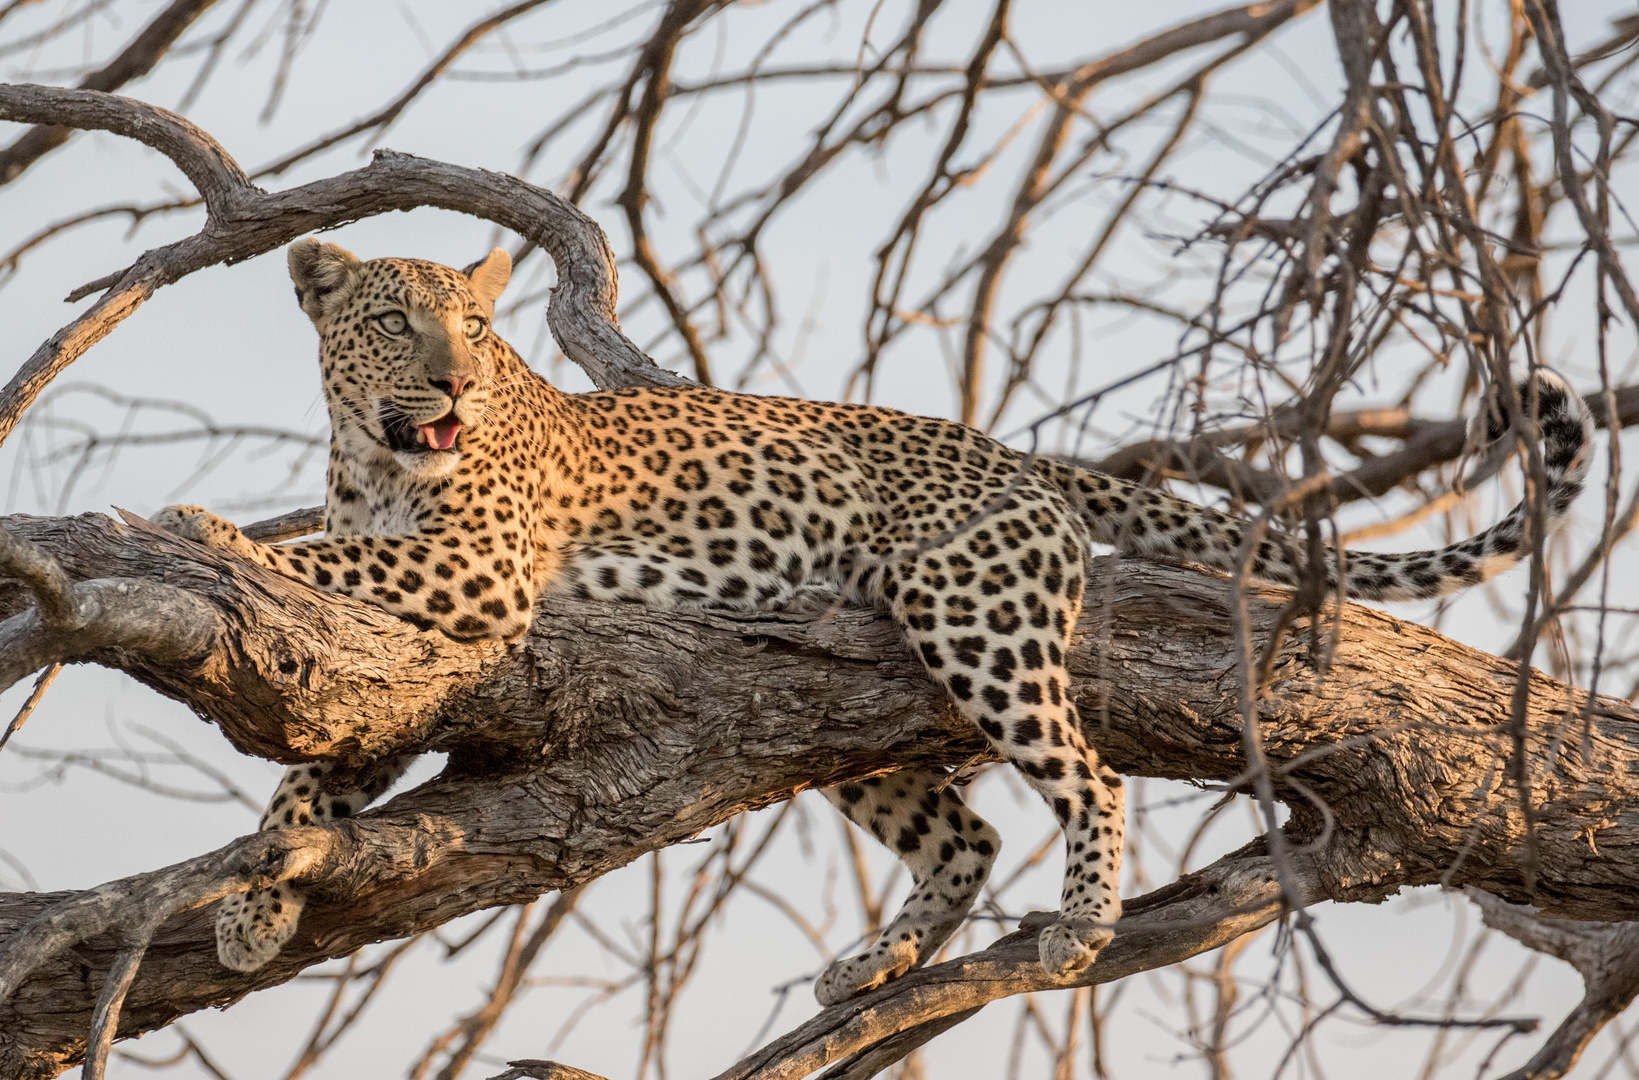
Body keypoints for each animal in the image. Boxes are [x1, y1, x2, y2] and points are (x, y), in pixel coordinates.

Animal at [154, 240, 1586, 1002]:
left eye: (473, 321)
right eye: (394, 321)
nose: (450, 379)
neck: (375, 455)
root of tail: (1009, 449)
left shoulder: (478, 571)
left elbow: (333, 560)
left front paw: (205, 529)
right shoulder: (391, 666)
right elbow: (309, 774)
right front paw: (255, 907)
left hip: (970, 614)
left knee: (1089, 778)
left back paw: (1079, 924)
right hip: (843, 715)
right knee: (967, 833)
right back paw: (873, 963)